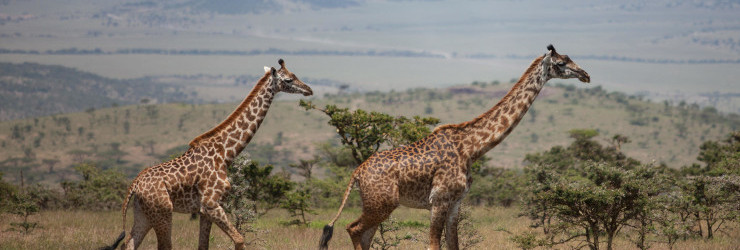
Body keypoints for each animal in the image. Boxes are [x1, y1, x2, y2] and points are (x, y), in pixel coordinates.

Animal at [104, 59, 312, 250]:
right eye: (288, 79)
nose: (309, 89)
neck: (225, 153)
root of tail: (135, 184)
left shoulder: (205, 211)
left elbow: (204, 245)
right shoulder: (211, 205)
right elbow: (239, 239)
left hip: (143, 213)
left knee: (129, 244)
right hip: (163, 212)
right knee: (163, 246)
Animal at [318, 45, 588, 250]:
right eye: (561, 63)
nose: (585, 74)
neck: (471, 148)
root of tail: (356, 173)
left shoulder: (456, 202)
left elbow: (454, 245)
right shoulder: (439, 200)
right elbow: (433, 245)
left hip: (378, 205)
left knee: (364, 235)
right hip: (382, 203)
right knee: (354, 229)